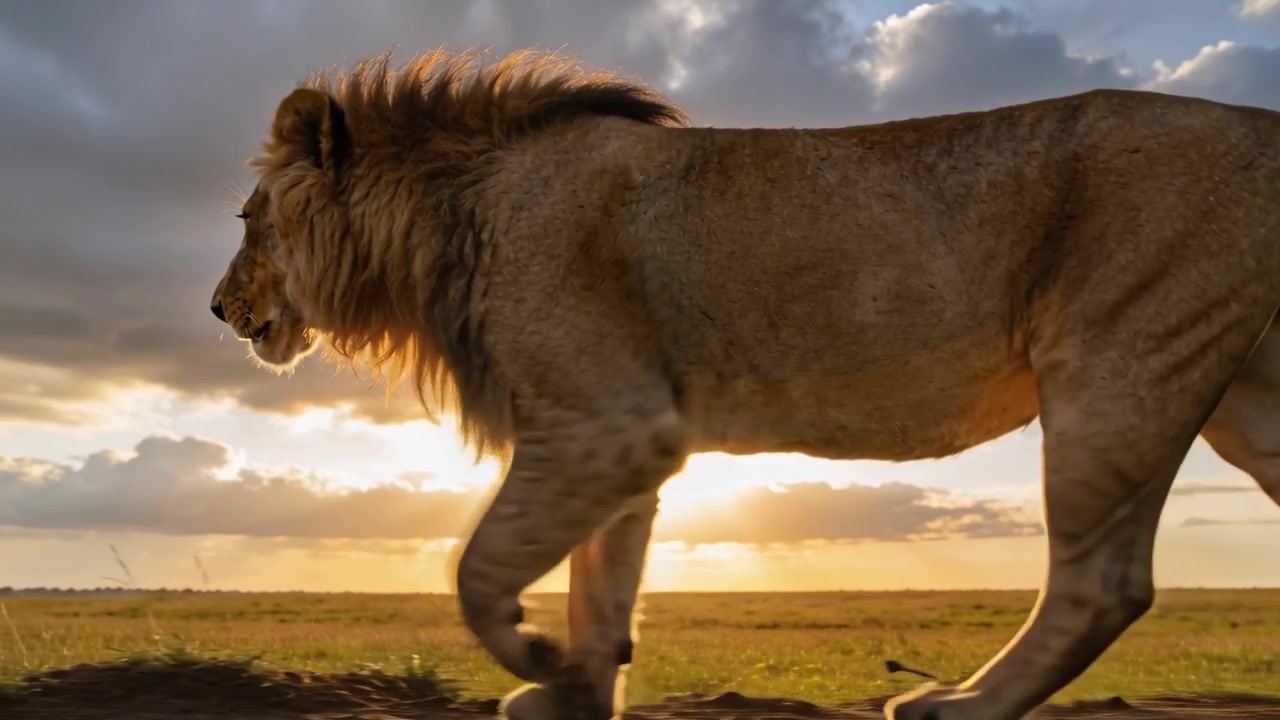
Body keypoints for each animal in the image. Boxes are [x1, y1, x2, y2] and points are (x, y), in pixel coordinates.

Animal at [209, 47, 1280, 720]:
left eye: (249, 219)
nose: (218, 309)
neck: (444, 217)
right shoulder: (619, 438)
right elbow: (601, 592)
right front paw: (576, 690)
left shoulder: (610, 424)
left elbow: (477, 570)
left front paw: (536, 660)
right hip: (1244, 403)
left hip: (1117, 362)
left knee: (1102, 583)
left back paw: (958, 706)